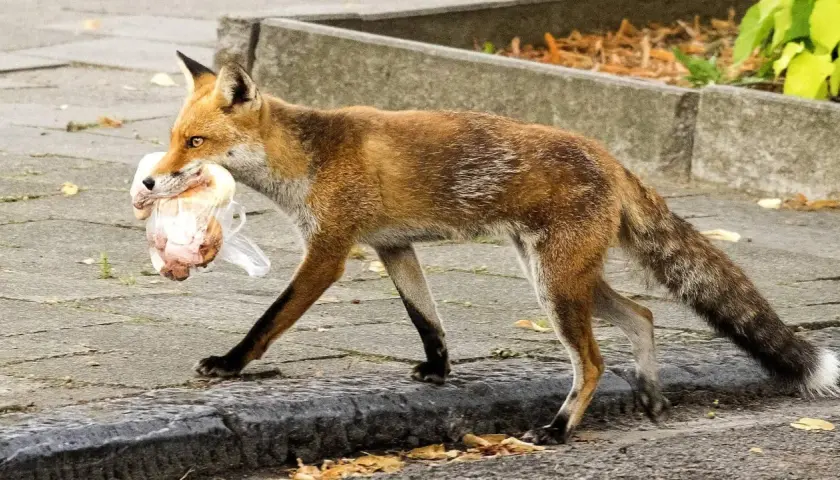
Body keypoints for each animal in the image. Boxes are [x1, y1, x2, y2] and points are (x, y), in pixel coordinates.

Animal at [139, 51, 840, 444]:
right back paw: (648, 394)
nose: (147, 183)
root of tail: (607, 154)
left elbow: (269, 320)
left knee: (592, 362)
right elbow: (428, 321)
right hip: (561, 278)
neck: (308, 159)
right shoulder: (395, 249)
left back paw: (560, 429)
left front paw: (230, 364)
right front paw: (439, 371)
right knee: (642, 315)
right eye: (174, 138)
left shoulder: (330, 252)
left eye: (195, 143)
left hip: (555, 287)